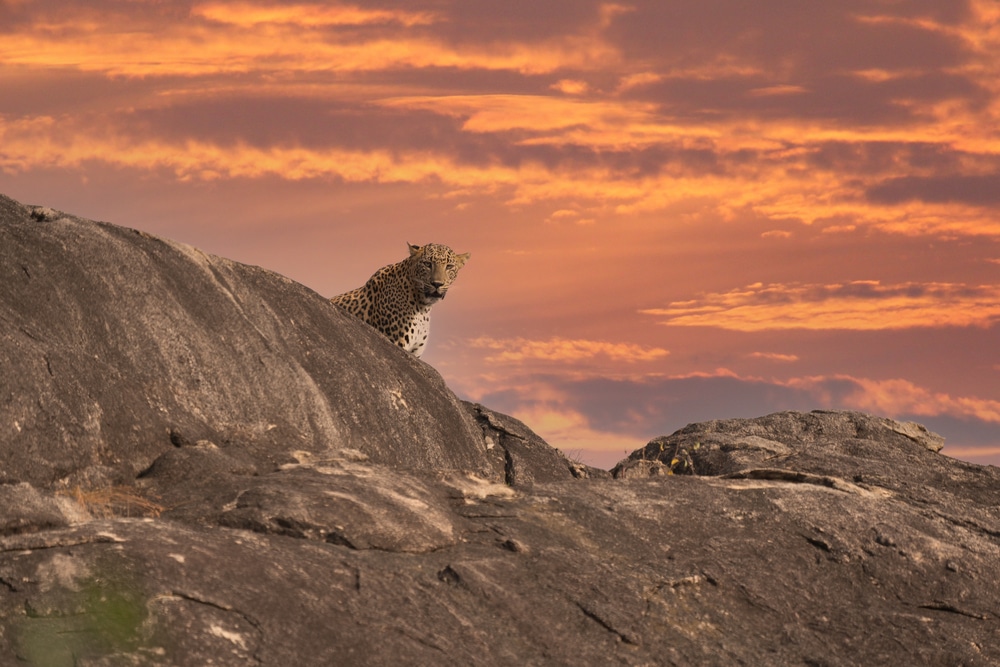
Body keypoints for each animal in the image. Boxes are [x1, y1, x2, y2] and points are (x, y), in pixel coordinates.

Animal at [328, 244, 468, 358]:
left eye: (449, 266)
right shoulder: (396, 342)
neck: (423, 307)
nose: (437, 284)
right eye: (427, 264)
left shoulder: (415, 352)